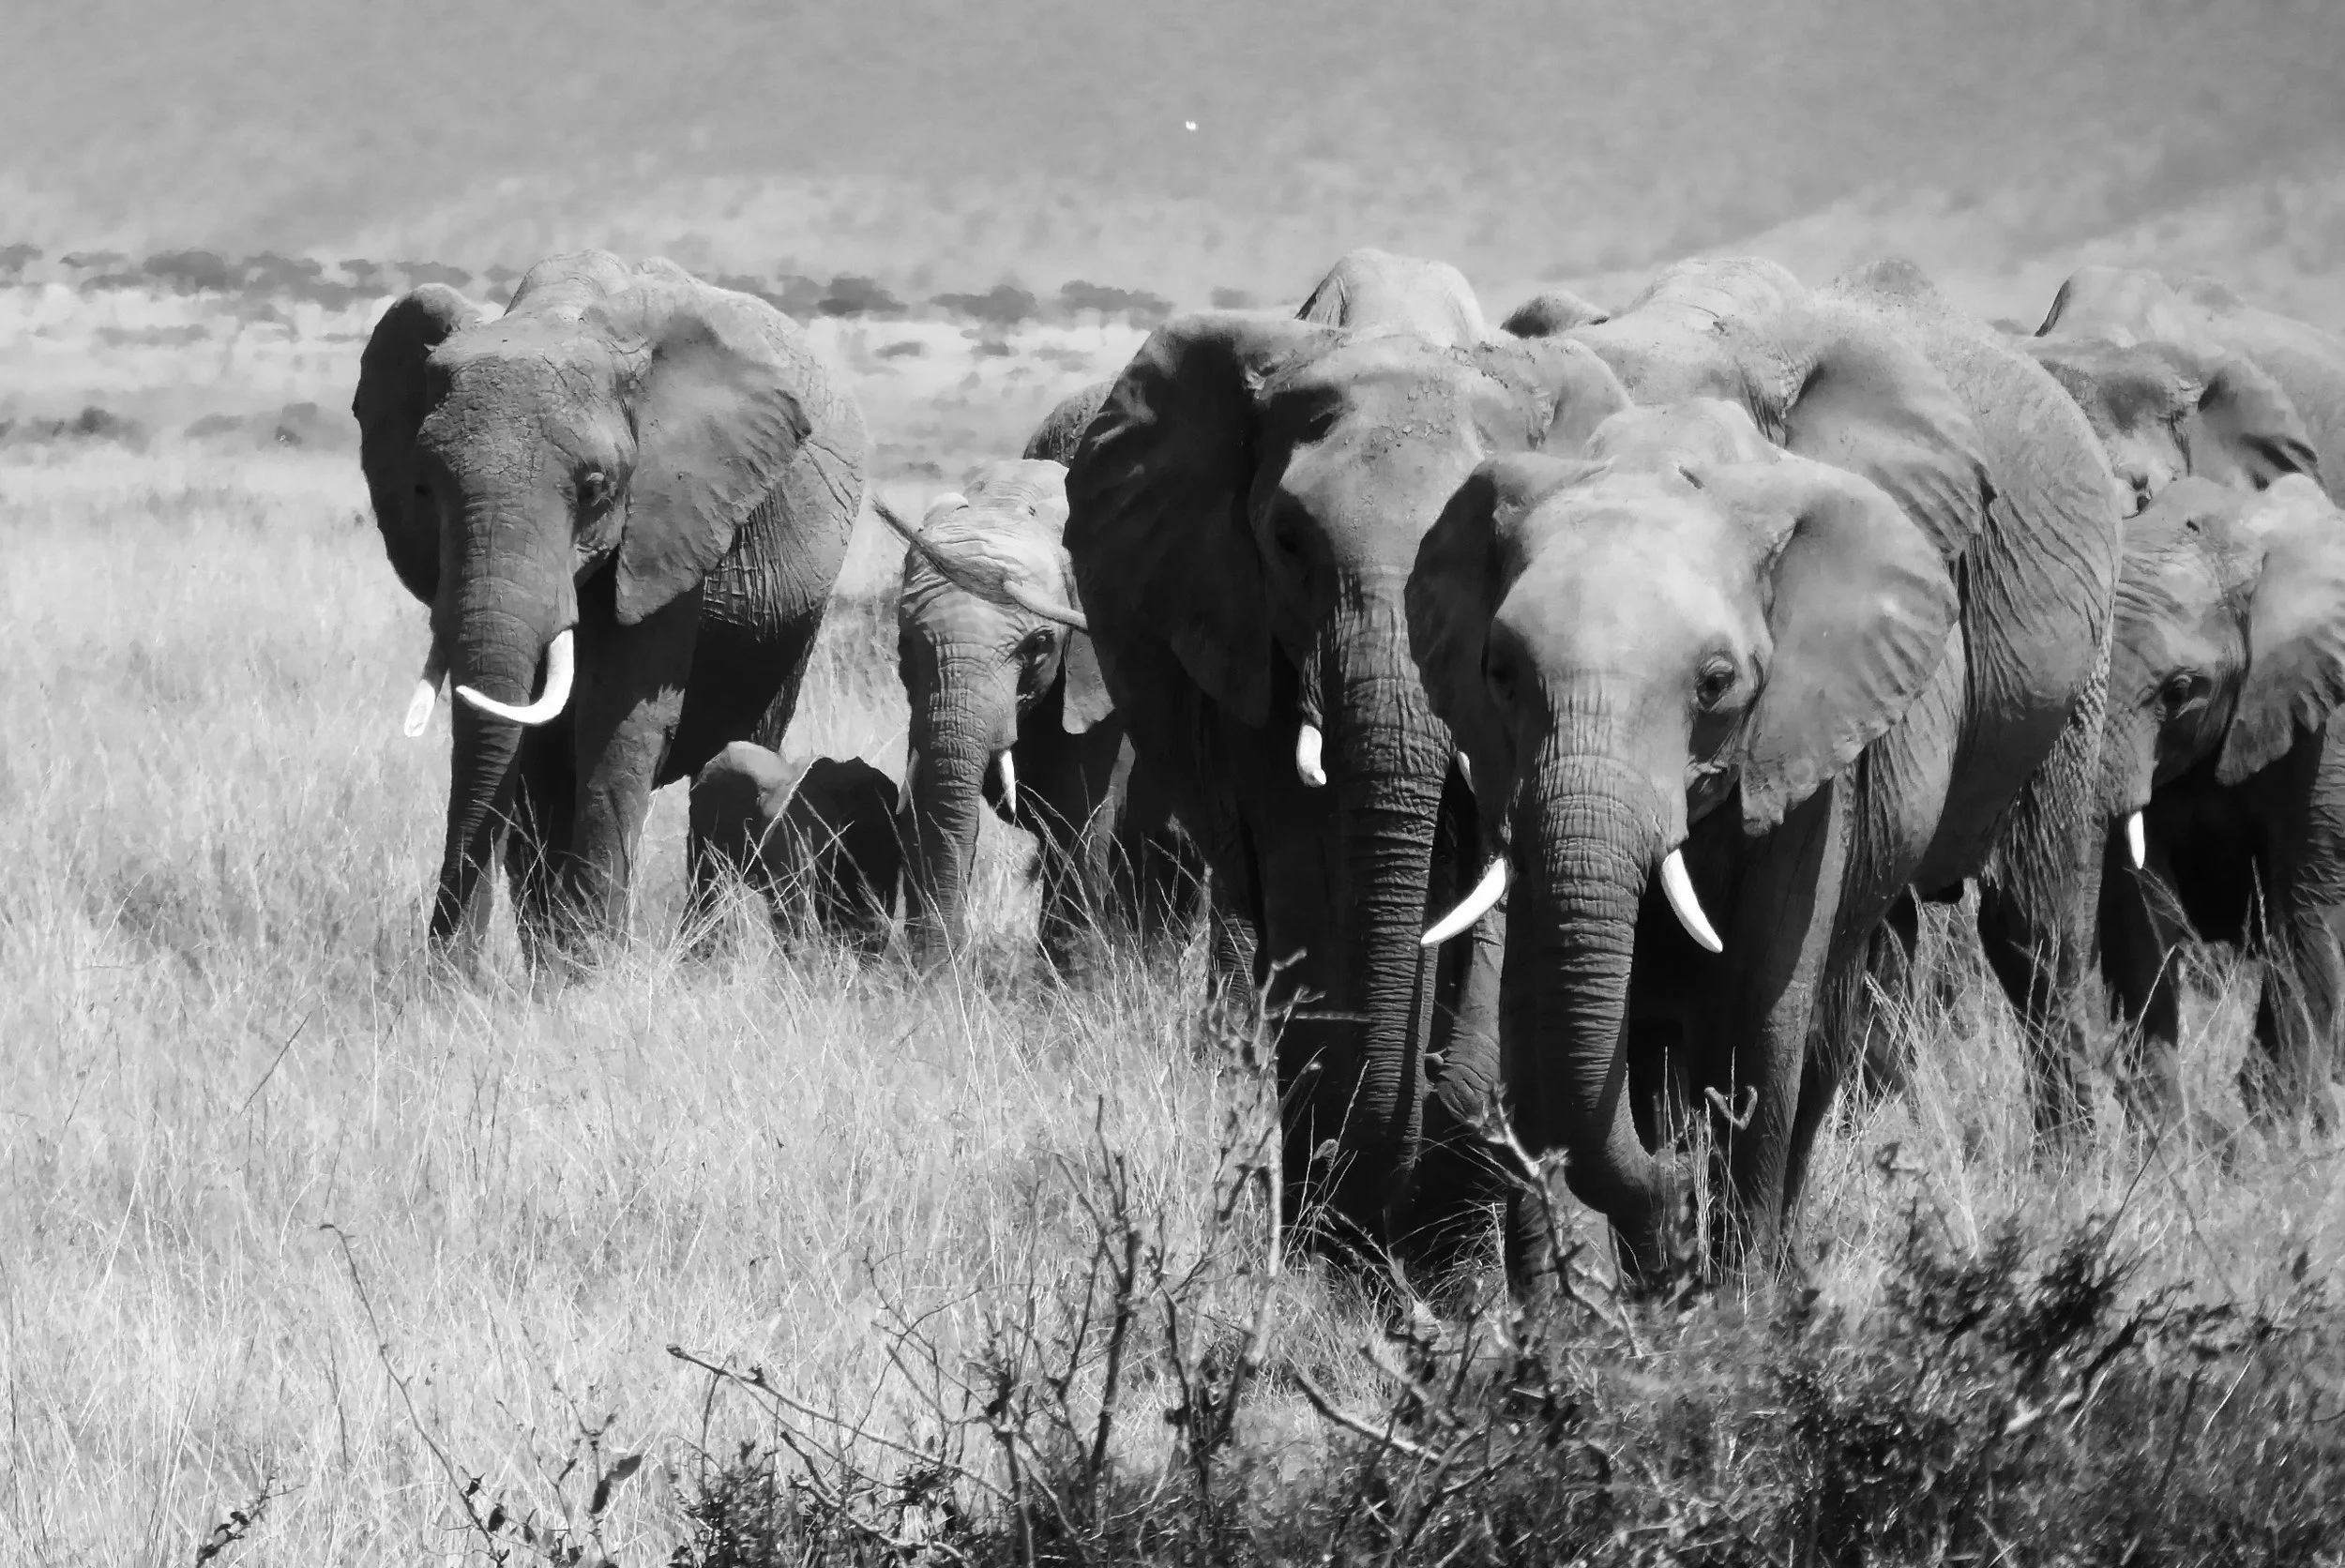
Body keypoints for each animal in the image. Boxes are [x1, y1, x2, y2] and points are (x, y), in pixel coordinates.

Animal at [354, 251, 867, 965]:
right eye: (424, 487)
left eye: (595, 487)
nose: (449, 969)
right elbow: (529, 737)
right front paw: (539, 966)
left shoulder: (673, 519)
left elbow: (619, 715)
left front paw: (586, 967)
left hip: (792, 627)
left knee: (741, 751)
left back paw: (700, 958)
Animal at [880, 385, 1204, 973]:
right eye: (905, 645)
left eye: (1038, 646)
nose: (935, 970)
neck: (1014, 497)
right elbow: (930, 792)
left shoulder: (1099, 671)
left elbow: (1082, 818)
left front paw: (1071, 985)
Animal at [1064, 247, 1673, 1275]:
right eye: (1287, 541)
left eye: (1487, 554)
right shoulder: (1250, 643)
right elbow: (1304, 875)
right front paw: (1340, 1242)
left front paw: (1444, 1197)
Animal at [1405, 256, 2121, 1282]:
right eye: (1498, 674)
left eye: (1716, 683)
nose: (1672, 1204)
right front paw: (1658, 1273)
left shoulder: (1812, 717)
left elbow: (1758, 1008)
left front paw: (1731, 1302)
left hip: (2073, 668)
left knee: (2028, 935)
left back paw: (2070, 1200)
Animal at [2089, 476, 2345, 1134]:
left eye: (2179, 691)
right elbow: (2140, 904)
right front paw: (2169, 1133)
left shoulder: (2329, 730)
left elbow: (2304, 908)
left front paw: (2292, 1135)